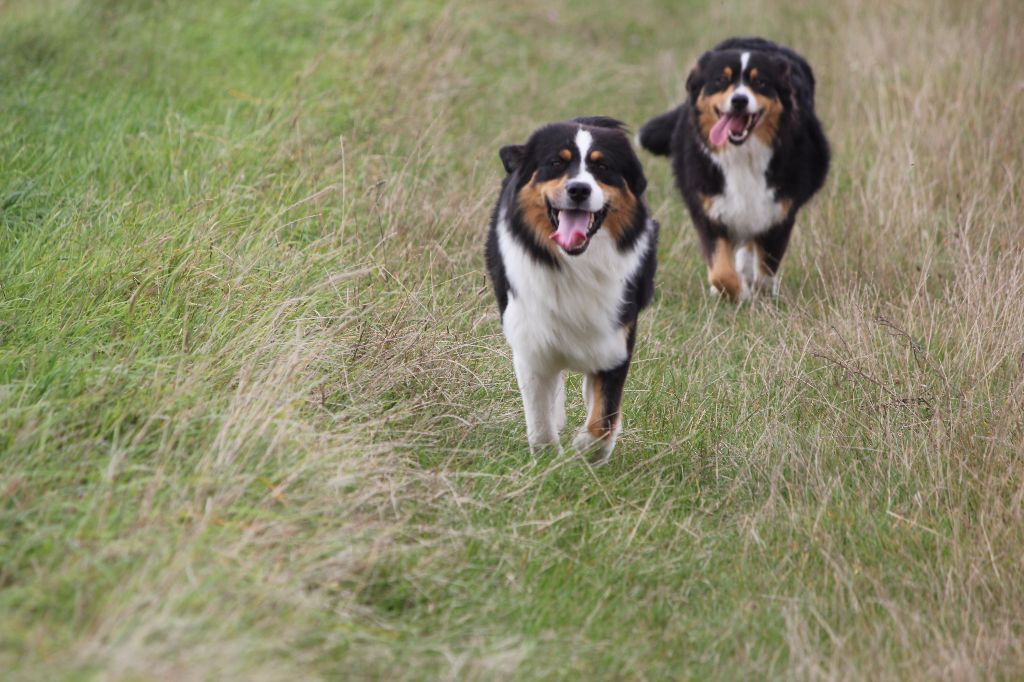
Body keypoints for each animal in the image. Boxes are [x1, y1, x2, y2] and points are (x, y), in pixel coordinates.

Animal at [485, 115, 655, 462]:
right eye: (556, 163)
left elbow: (605, 413)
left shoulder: (615, 341)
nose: (579, 189)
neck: (574, 263)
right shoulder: (530, 338)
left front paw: (589, 451)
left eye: (602, 167)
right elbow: (539, 411)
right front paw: (548, 456)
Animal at [638, 37, 831, 301]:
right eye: (721, 79)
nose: (739, 100)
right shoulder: (709, 207)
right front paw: (739, 293)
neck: (743, 154)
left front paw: (759, 292)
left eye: (760, 82)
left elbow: (766, 267)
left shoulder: (778, 211)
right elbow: (720, 271)